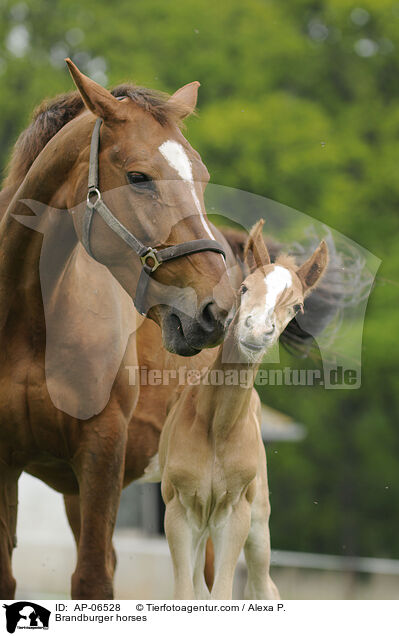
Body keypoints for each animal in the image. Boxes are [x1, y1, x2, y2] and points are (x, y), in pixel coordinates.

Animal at [0, 60, 239, 600]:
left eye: (202, 177)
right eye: (138, 177)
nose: (218, 309)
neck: (29, 322)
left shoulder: (102, 448)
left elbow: (92, 579)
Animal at [159, 221, 328, 600]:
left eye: (297, 307)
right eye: (245, 287)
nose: (256, 330)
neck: (217, 426)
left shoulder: (235, 513)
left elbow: (223, 594)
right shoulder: (179, 511)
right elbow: (185, 595)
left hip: (259, 523)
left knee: (264, 587)